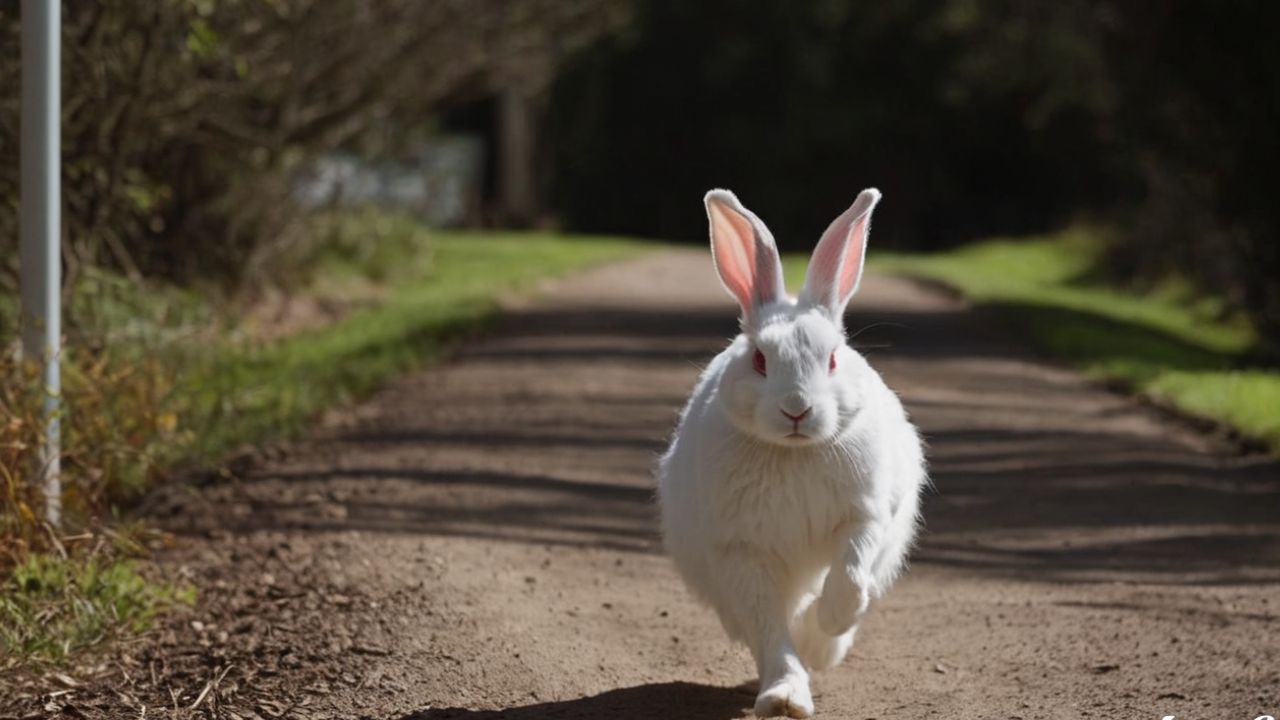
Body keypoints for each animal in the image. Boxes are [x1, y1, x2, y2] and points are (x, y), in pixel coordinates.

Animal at [660, 188, 921, 712]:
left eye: (834, 358)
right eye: (760, 359)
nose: (797, 408)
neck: (795, 452)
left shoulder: (866, 516)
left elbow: (850, 573)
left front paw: (833, 622)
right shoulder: (743, 551)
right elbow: (768, 629)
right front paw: (784, 698)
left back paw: (822, 645)